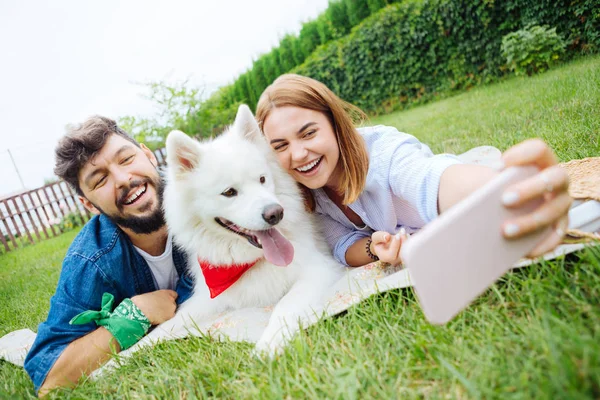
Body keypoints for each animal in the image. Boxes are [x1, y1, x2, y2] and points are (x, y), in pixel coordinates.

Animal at [134, 104, 344, 354]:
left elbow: (285, 305)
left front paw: (268, 345)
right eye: (229, 192)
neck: (248, 261)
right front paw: (118, 359)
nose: (275, 213)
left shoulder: (318, 269)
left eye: (262, 179)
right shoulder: (207, 300)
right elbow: (166, 327)